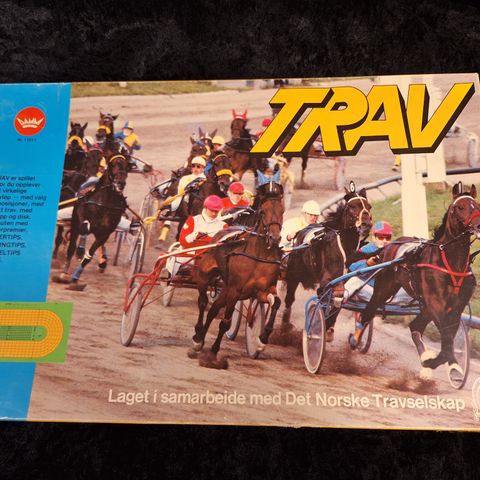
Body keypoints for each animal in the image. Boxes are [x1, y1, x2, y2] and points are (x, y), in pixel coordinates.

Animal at [56, 153, 130, 289]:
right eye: (113, 165)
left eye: (127, 166)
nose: (120, 183)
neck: (105, 203)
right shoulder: (81, 213)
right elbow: (84, 228)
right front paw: (80, 251)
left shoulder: (104, 233)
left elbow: (89, 256)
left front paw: (75, 278)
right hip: (75, 224)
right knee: (71, 247)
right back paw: (64, 271)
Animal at [190, 172, 284, 369]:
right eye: (263, 211)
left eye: (282, 210)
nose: (274, 238)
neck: (259, 255)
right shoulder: (235, 289)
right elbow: (225, 322)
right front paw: (213, 353)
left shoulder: (262, 291)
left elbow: (276, 303)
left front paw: (262, 339)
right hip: (204, 276)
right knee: (203, 303)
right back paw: (197, 339)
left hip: (226, 288)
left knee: (213, 309)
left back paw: (201, 339)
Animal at [282, 184, 372, 334]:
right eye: (353, 206)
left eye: (368, 206)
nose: (366, 224)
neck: (344, 247)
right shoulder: (326, 279)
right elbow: (328, 297)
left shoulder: (342, 280)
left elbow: (338, 300)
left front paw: (329, 327)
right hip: (293, 274)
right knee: (289, 298)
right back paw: (285, 325)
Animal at [349, 182, 480, 382]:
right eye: (460, 207)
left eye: (477, 205)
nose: (479, 224)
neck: (450, 263)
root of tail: (391, 245)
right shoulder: (436, 304)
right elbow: (446, 336)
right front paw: (435, 362)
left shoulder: (456, 306)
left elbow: (449, 335)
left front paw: (448, 365)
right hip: (384, 289)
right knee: (367, 312)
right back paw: (355, 339)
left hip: (423, 305)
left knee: (414, 326)